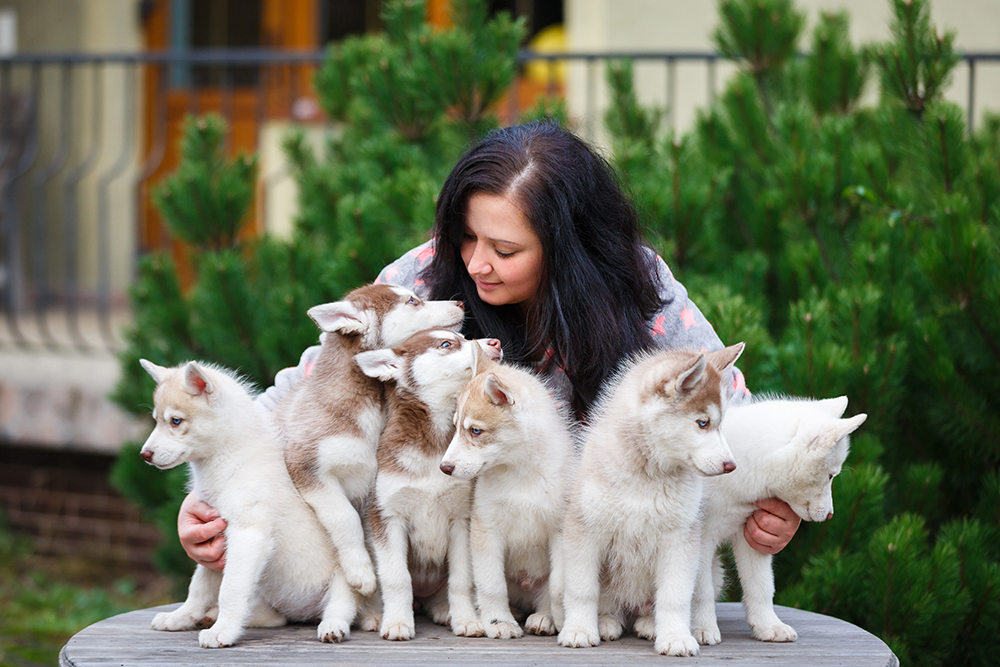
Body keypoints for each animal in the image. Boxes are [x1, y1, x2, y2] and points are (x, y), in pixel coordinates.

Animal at [274, 284, 460, 600]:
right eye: (412, 301)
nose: (460, 302)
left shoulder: (372, 487)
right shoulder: (307, 468)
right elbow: (344, 518)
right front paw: (360, 572)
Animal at [356, 328, 504, 640]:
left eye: (464, 336)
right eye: (447, 344)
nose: (495, 342)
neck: (434, 446)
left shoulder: (462, 519)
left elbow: (461, 578)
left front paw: (466, 619)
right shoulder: (387, 516)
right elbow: (396, 577)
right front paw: (397, 622)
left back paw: (443, 610)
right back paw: (375, 615)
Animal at [440, 352, 576, 640]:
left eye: (475, 431)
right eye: (455, 427)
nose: (444, 467)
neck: (520, 475)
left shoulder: (559, 531)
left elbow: (559, 585)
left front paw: (562, 617)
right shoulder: (486, 530)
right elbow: (492, 585)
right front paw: (497, 621)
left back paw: (544, 617)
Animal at [560, 344, 748, 656]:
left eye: (720, 425)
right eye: (703, 423)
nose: (731, 465)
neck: (648, 476)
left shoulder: (680, 538)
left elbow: (675, 596)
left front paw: (675, 637)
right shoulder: (585, 531)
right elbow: (582, 589)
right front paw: (579, 630)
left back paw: (650, 624)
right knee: (611, 604)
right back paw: (607, 621)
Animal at [692, 396, 864, 648]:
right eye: (831, 475)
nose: (831, 515)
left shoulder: (750, 533)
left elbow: (761, 585)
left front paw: (768, 626)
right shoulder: (700, 536)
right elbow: (700, 589)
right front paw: (702, 628)